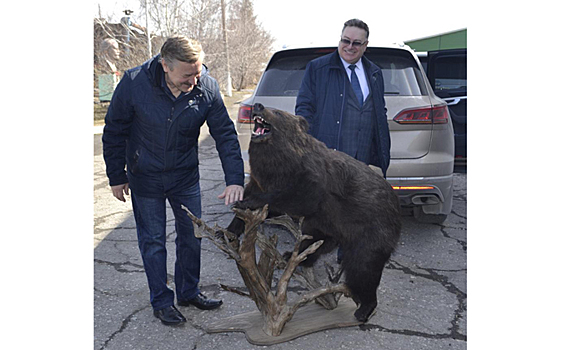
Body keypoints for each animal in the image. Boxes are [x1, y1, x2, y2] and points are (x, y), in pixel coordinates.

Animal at [227, 102, 404, 322]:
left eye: (276, 112)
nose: (258, 105)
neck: (277, 163)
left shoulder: (311, 181)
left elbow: (298, 197)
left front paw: (247, 202)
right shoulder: (260, 179)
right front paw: (229, 228)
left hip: (372, 230)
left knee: (363, 267)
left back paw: (363, 309)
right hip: (329, 227)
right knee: (316, 242)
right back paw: (291, 256)